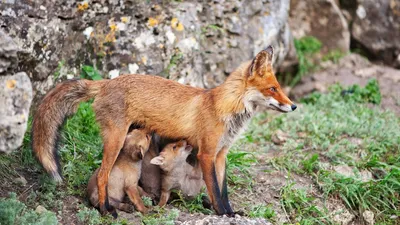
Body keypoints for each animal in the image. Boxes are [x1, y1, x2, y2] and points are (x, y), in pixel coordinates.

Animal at [32, 46, 296, 216]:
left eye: (279, 87)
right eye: (273, 89)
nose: (293, 106)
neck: (225, 110)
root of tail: (106, 82)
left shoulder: (221, 155)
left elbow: (223, 190)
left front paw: (232, 212)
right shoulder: (207, 154)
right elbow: (214, 190)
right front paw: (222, 214)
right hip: (115, 140)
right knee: (102, 176)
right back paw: (106, 210)